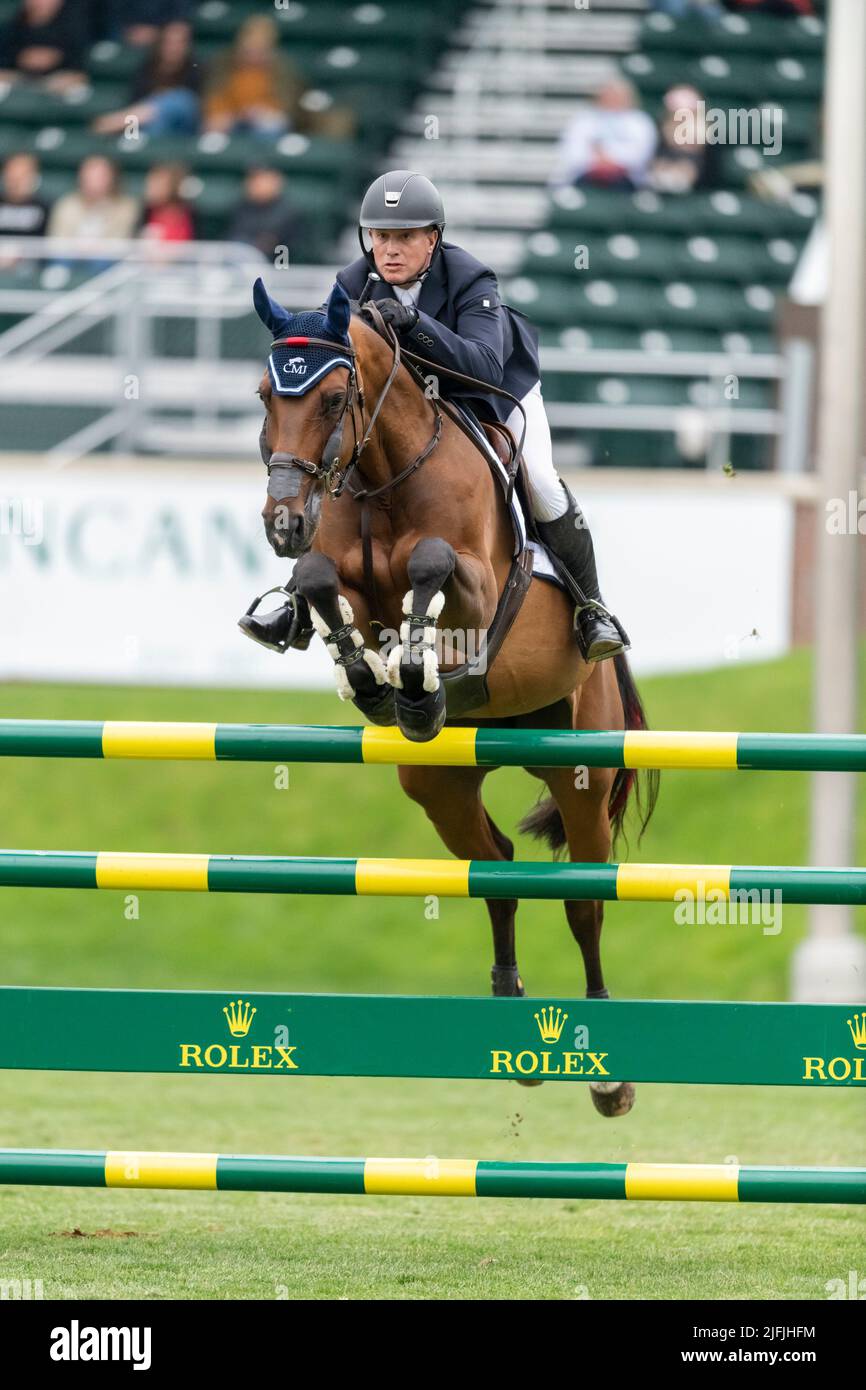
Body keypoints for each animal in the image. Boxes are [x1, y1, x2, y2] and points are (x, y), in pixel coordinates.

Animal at [250, 279, 656, 1117]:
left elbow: (432, 567)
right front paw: (375, 681)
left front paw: (414, 670)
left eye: (335, 398)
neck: (383, 474)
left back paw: (608, 1074)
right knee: (495, 870)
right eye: (265, 395)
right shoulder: (341, 579)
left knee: (584, 902)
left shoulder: (478, 584)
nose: (283, 522)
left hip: (581, 771)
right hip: (438, 784)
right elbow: (319, 582)